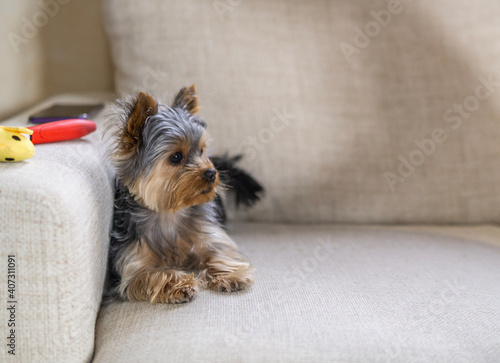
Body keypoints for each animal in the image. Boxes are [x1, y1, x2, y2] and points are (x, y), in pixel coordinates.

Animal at [104, 85, 262, 304]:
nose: (212, 173)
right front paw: (181, 284)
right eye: (176, 157)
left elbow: (218, 253)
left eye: (202, 151)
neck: (170, 213)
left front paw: (230, 275)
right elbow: (156, 274)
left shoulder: (210, 237)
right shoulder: (134, 266)